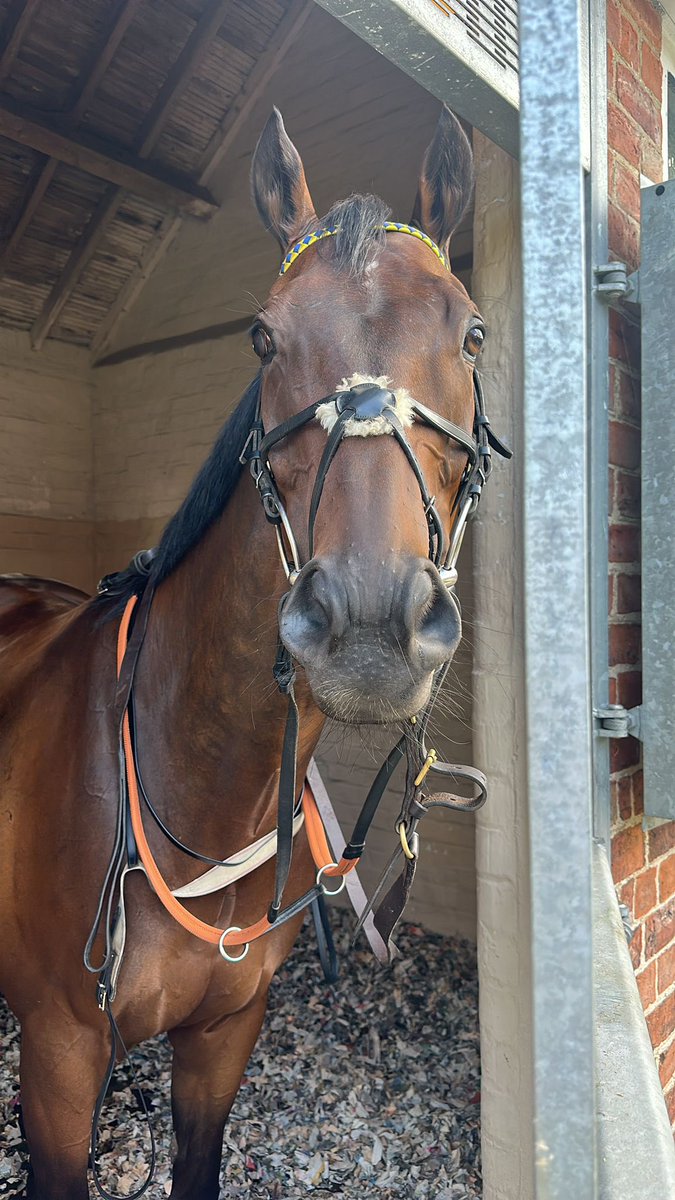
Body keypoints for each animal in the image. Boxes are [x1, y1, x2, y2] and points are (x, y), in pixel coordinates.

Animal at [0, 108, 485, 1195]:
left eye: (473, 332)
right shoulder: (56, 1062)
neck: (201, 783)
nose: (367, 625)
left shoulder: (224, 1041)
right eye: (263, 336)